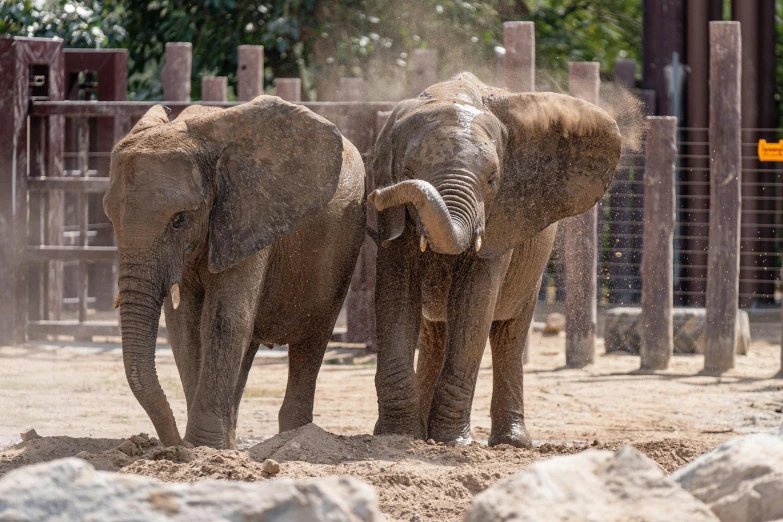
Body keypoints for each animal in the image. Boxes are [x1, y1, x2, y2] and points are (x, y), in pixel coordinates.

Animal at [103, 96, 368, 446]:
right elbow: (185, 327)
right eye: (110, 218)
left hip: (340, 250)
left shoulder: (246, 216)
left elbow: (224, 319)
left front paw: (202, 446)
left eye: (179, 220)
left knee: (311, 341)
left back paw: (294, 435)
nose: (173, 444)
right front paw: (205, 448)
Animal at [370, 72, 620, 446]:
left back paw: (511, 441)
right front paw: (397, 437)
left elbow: (475, 302)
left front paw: (450, 442)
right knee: (435, 333)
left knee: (508, 334)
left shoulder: (502, 220)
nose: (377, 195)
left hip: (532, 269)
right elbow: (396, 295)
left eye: (493, 180)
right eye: (406, 171)